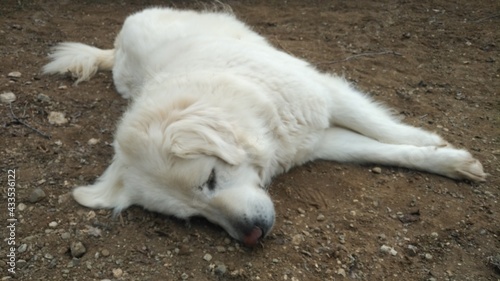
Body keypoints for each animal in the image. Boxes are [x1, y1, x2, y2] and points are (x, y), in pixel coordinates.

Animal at [41, 7, 486, 245]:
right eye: (195, 218)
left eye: (210, 179)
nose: (251, 235)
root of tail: (117, 46)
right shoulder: (320, 142)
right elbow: (376, 150)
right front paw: (449, 161)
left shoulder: (324, 93)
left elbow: (383, 130)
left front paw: (431, 141)